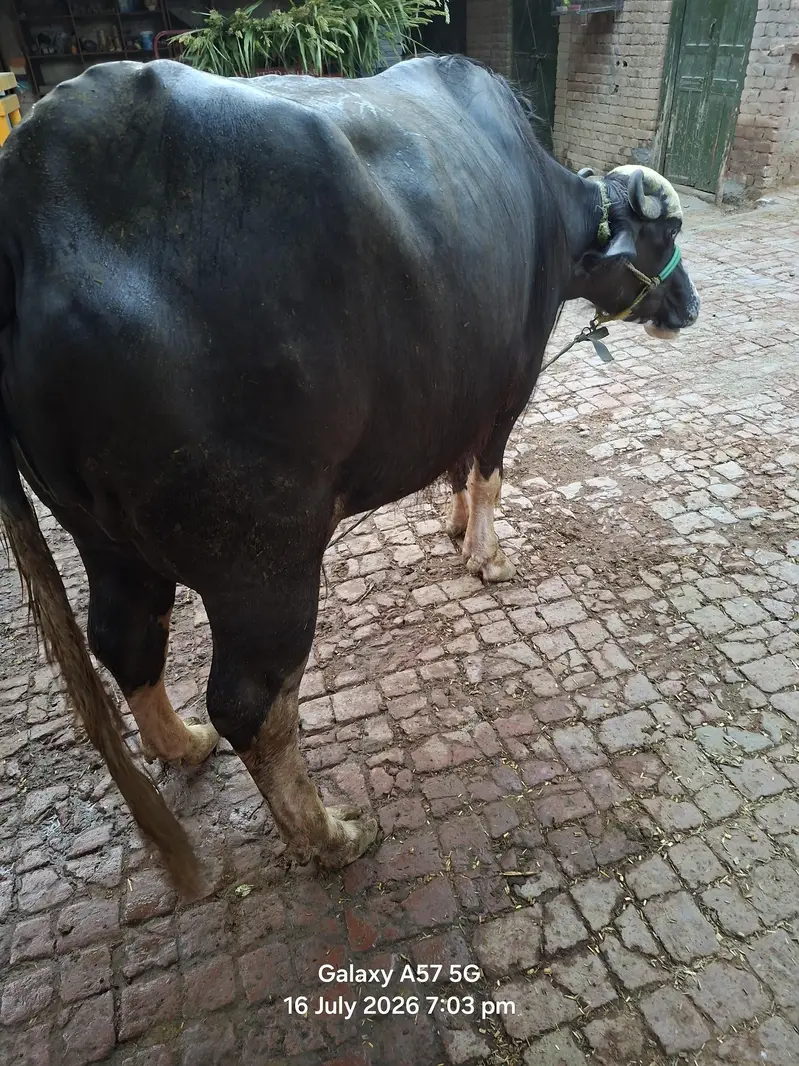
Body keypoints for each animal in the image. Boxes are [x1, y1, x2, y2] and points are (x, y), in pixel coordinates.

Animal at [0, 56, 699, 894]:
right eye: (663, 233)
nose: (688, 305)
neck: (543, 207)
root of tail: (32, 212)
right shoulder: (508, 386)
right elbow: (489, 472)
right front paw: (487, 556)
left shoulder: (455, 391)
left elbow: (457, 467)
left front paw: (453, 527)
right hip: (261, 560)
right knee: (251, 702)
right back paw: (327, 834)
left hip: (103, 537)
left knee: (126, 639)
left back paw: (182, 745)